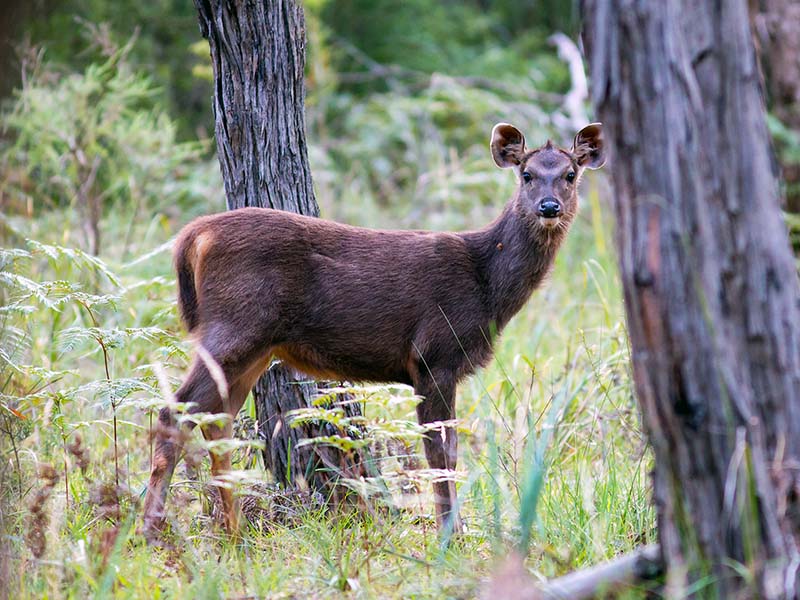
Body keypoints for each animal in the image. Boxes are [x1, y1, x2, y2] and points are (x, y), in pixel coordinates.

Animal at [141, 122, 605, 540]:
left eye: (570, 174)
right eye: (527, 174)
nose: (549, 206)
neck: (487, 285)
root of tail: (192, 235)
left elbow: (446, 452)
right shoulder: (434, 355)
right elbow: (441, 454)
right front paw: (449, 537)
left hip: (255, 347)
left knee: (215, 419)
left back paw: (233, 532)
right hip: (233, 327)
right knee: (173, 411)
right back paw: (152, 531)